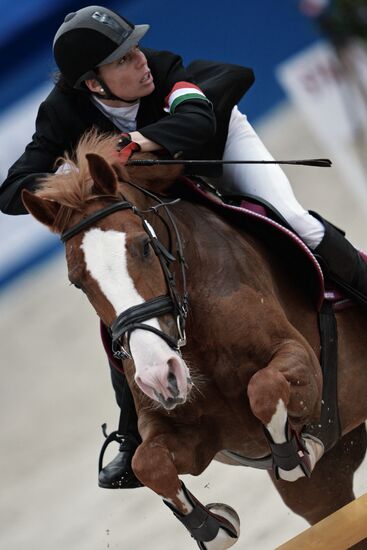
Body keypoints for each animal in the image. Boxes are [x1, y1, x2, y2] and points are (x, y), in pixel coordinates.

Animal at [22, 132, 367, 548]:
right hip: (328, 486)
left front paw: (294, 455)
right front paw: (214, 526)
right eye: (77, 281)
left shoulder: (300, 362)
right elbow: (147, 463)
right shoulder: (180, 431)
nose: (160, 376)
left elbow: (264, 387)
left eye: (143, 245)